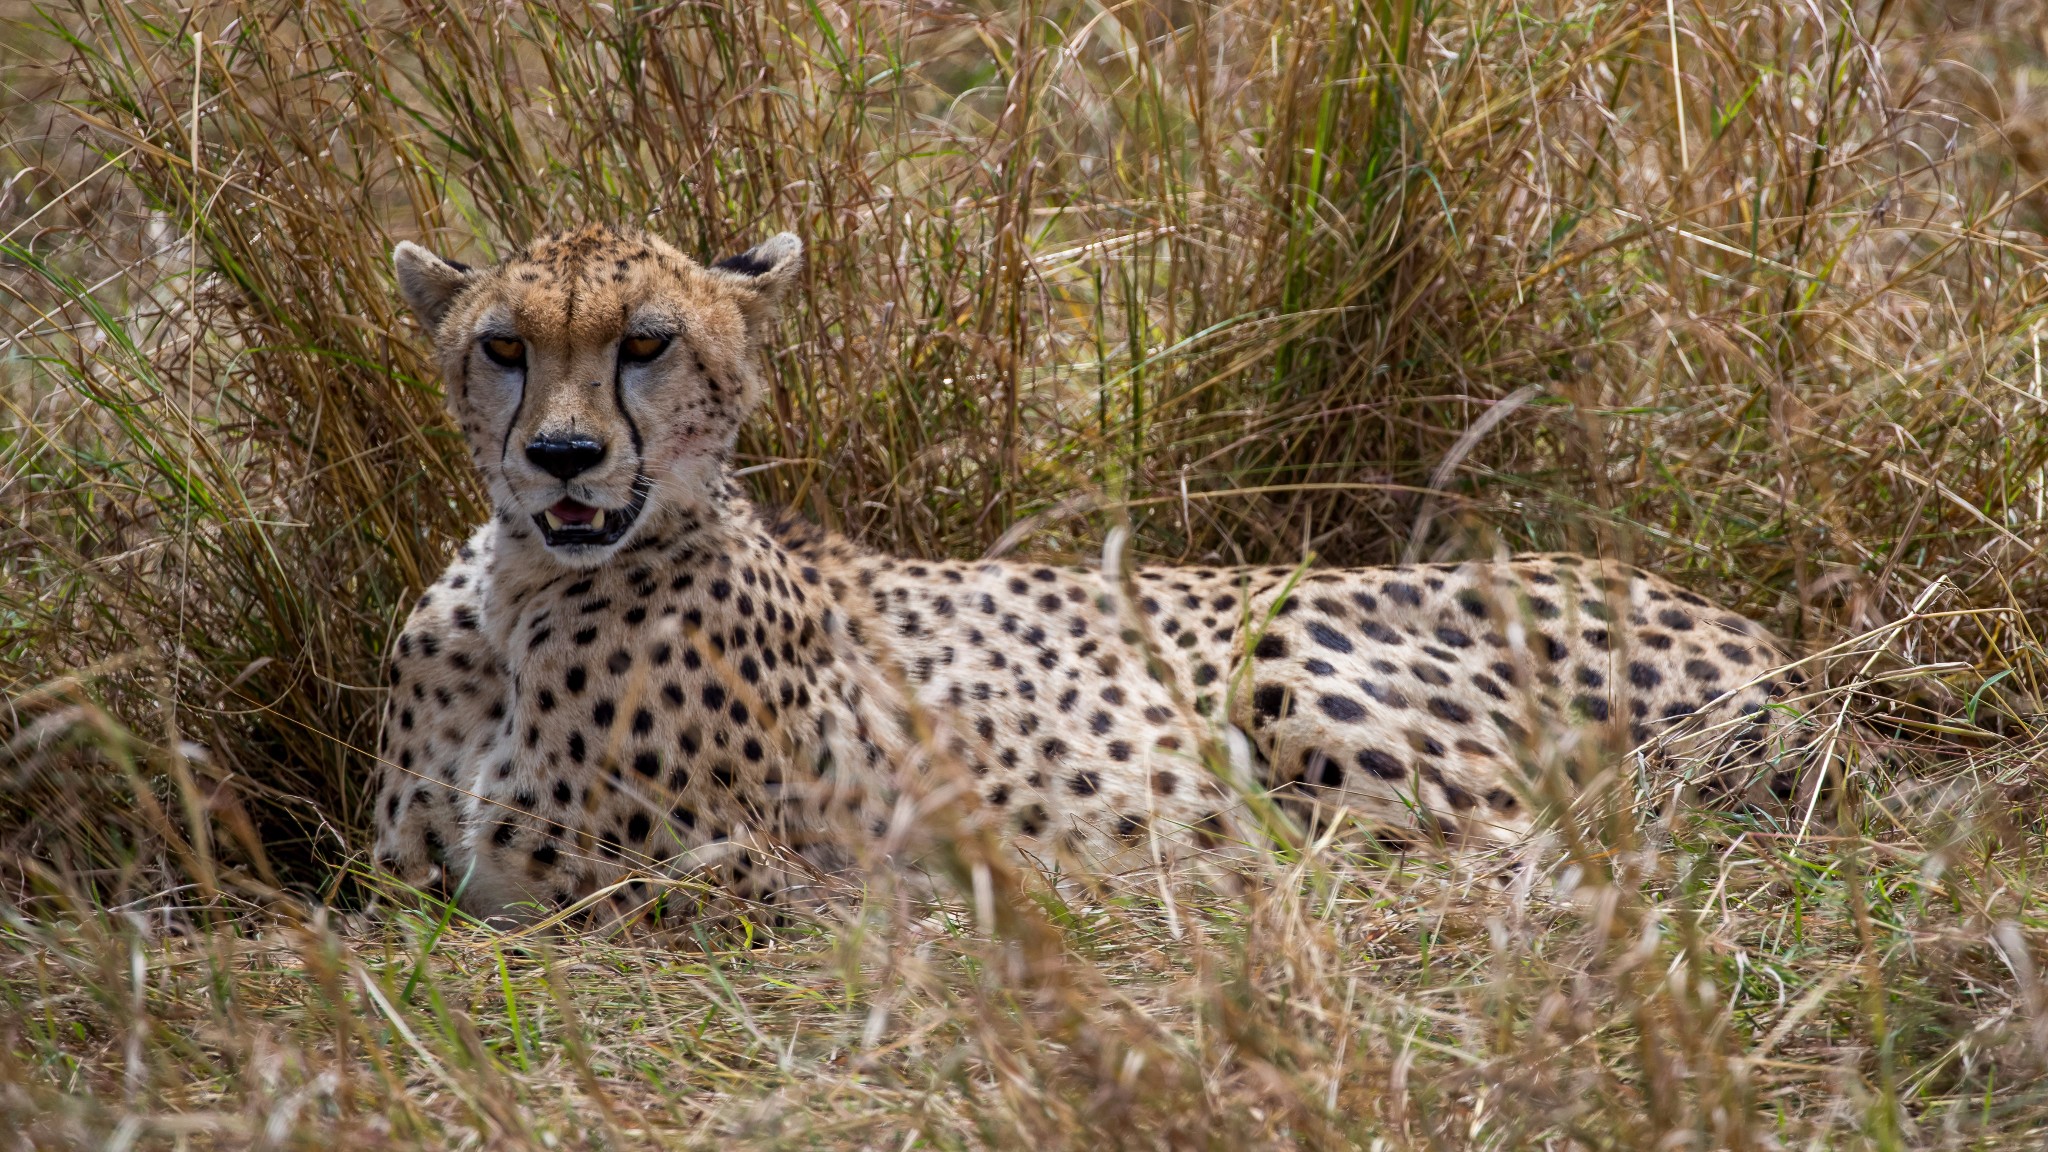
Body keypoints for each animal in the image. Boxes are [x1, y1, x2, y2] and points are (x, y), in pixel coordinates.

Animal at [372, 224, 1810, 922]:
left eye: (647, 343)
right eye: (502, 347)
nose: (563, 455)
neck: (516, 597)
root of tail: (1773, 650)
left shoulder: (729, 878)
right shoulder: (402, 879)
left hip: (1294, 636)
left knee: (1499, 856)